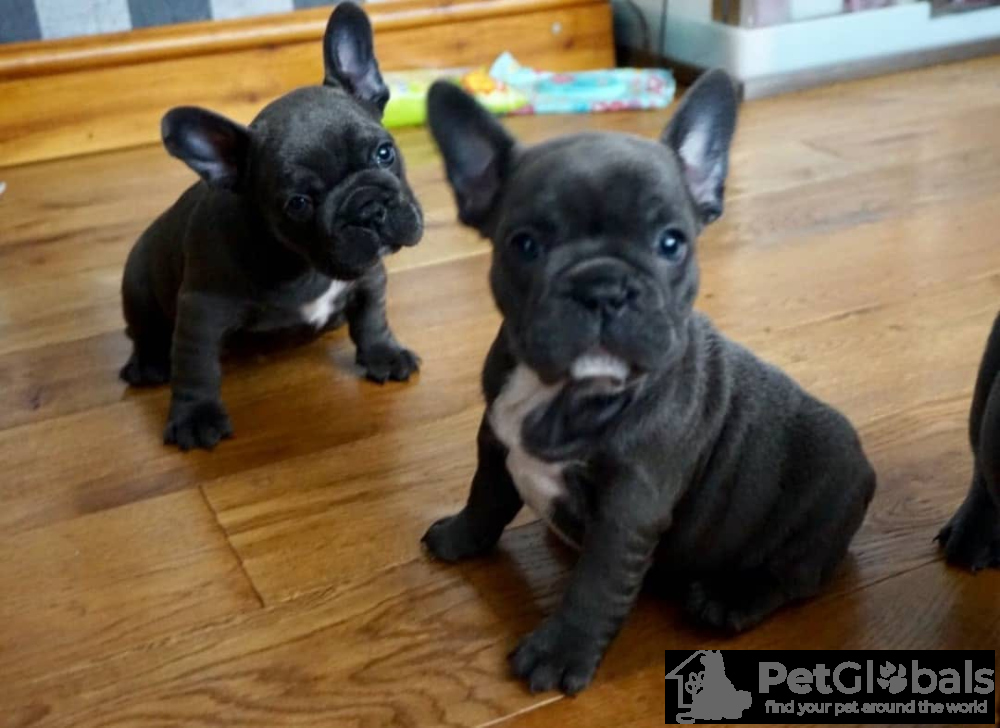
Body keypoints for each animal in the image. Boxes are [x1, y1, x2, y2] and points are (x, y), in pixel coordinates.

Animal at [120, 2, 422, 451]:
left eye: (385, 152)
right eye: (298, 204)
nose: (368, 210)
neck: (304, 264)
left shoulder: (368, 276)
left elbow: (372, 317)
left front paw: (384, 354)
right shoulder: (201, 311)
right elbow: (196, 367)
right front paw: (195, 416)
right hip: (137, 283)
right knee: (144, 330)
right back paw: (147, 363)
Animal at [421, 71, 876, 695]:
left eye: (671, 242)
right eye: (525, 245)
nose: (603, 288)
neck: (560, 392)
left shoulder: (628, 511)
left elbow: (595, 587)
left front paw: (559, 653)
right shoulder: (493, 443)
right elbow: (484, 496)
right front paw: (459, 538)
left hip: (818, 507)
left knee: (796, 574)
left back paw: (729, 599)